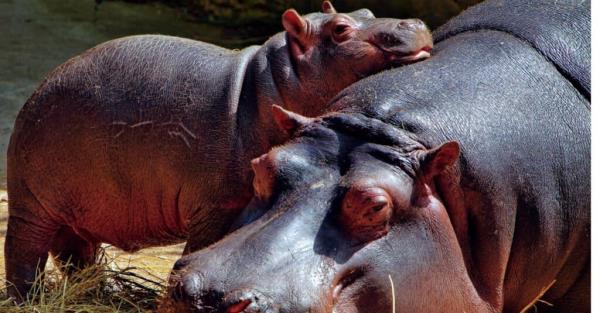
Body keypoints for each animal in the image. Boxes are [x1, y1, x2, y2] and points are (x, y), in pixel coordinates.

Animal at [4, 1, 434, 302]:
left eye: (368, 12)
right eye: (341, 29)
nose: (413, 23)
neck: (273, 82)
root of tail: (34, 94)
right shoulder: (215, 205)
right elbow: (202, 247)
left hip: (80, 209)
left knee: (76, 252)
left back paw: (103, 292)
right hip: (31, 203)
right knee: (23, 250)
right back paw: (28, 299)